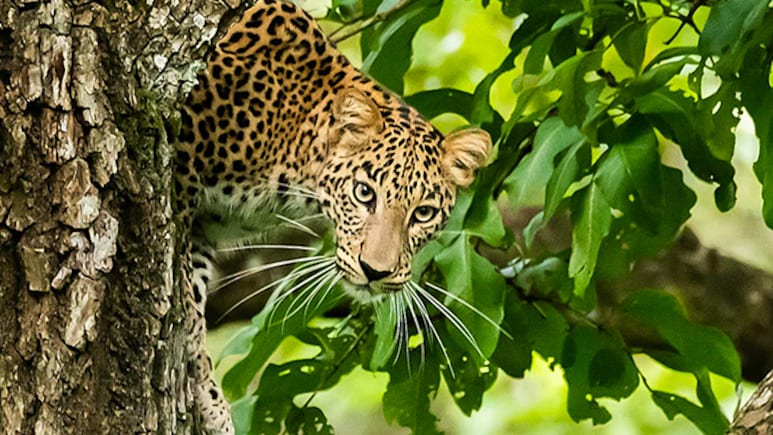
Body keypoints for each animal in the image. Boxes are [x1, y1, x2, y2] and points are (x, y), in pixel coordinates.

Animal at [174, 0, 492, 432]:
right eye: (364, 193)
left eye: (423, 213)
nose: (375, 272)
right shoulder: (182, 167)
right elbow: (186, 303)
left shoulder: (203, 227)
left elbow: (192, 290)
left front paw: (207, 398)